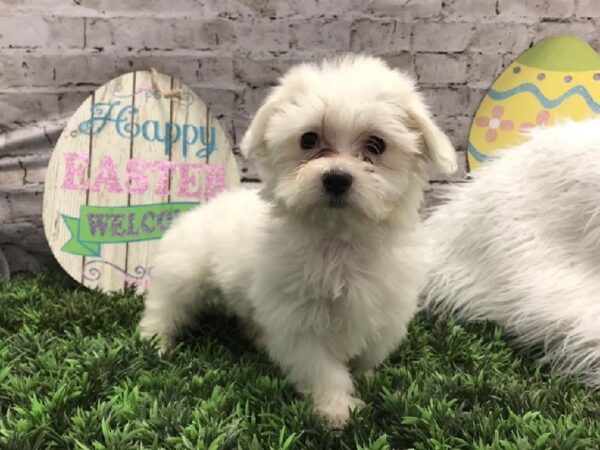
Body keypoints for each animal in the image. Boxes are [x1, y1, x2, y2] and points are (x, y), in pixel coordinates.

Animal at [141, 54, 458, 428]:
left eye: (376, 145)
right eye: (308, 140)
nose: (337, 178)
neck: (339, 240)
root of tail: (206, 206)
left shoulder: (385, 312)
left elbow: (367, 355)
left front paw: (364, 381)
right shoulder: (299, 323)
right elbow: (322, 369)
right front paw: (337, 409)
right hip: (184, 272)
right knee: (165, 305)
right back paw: (154, 341)